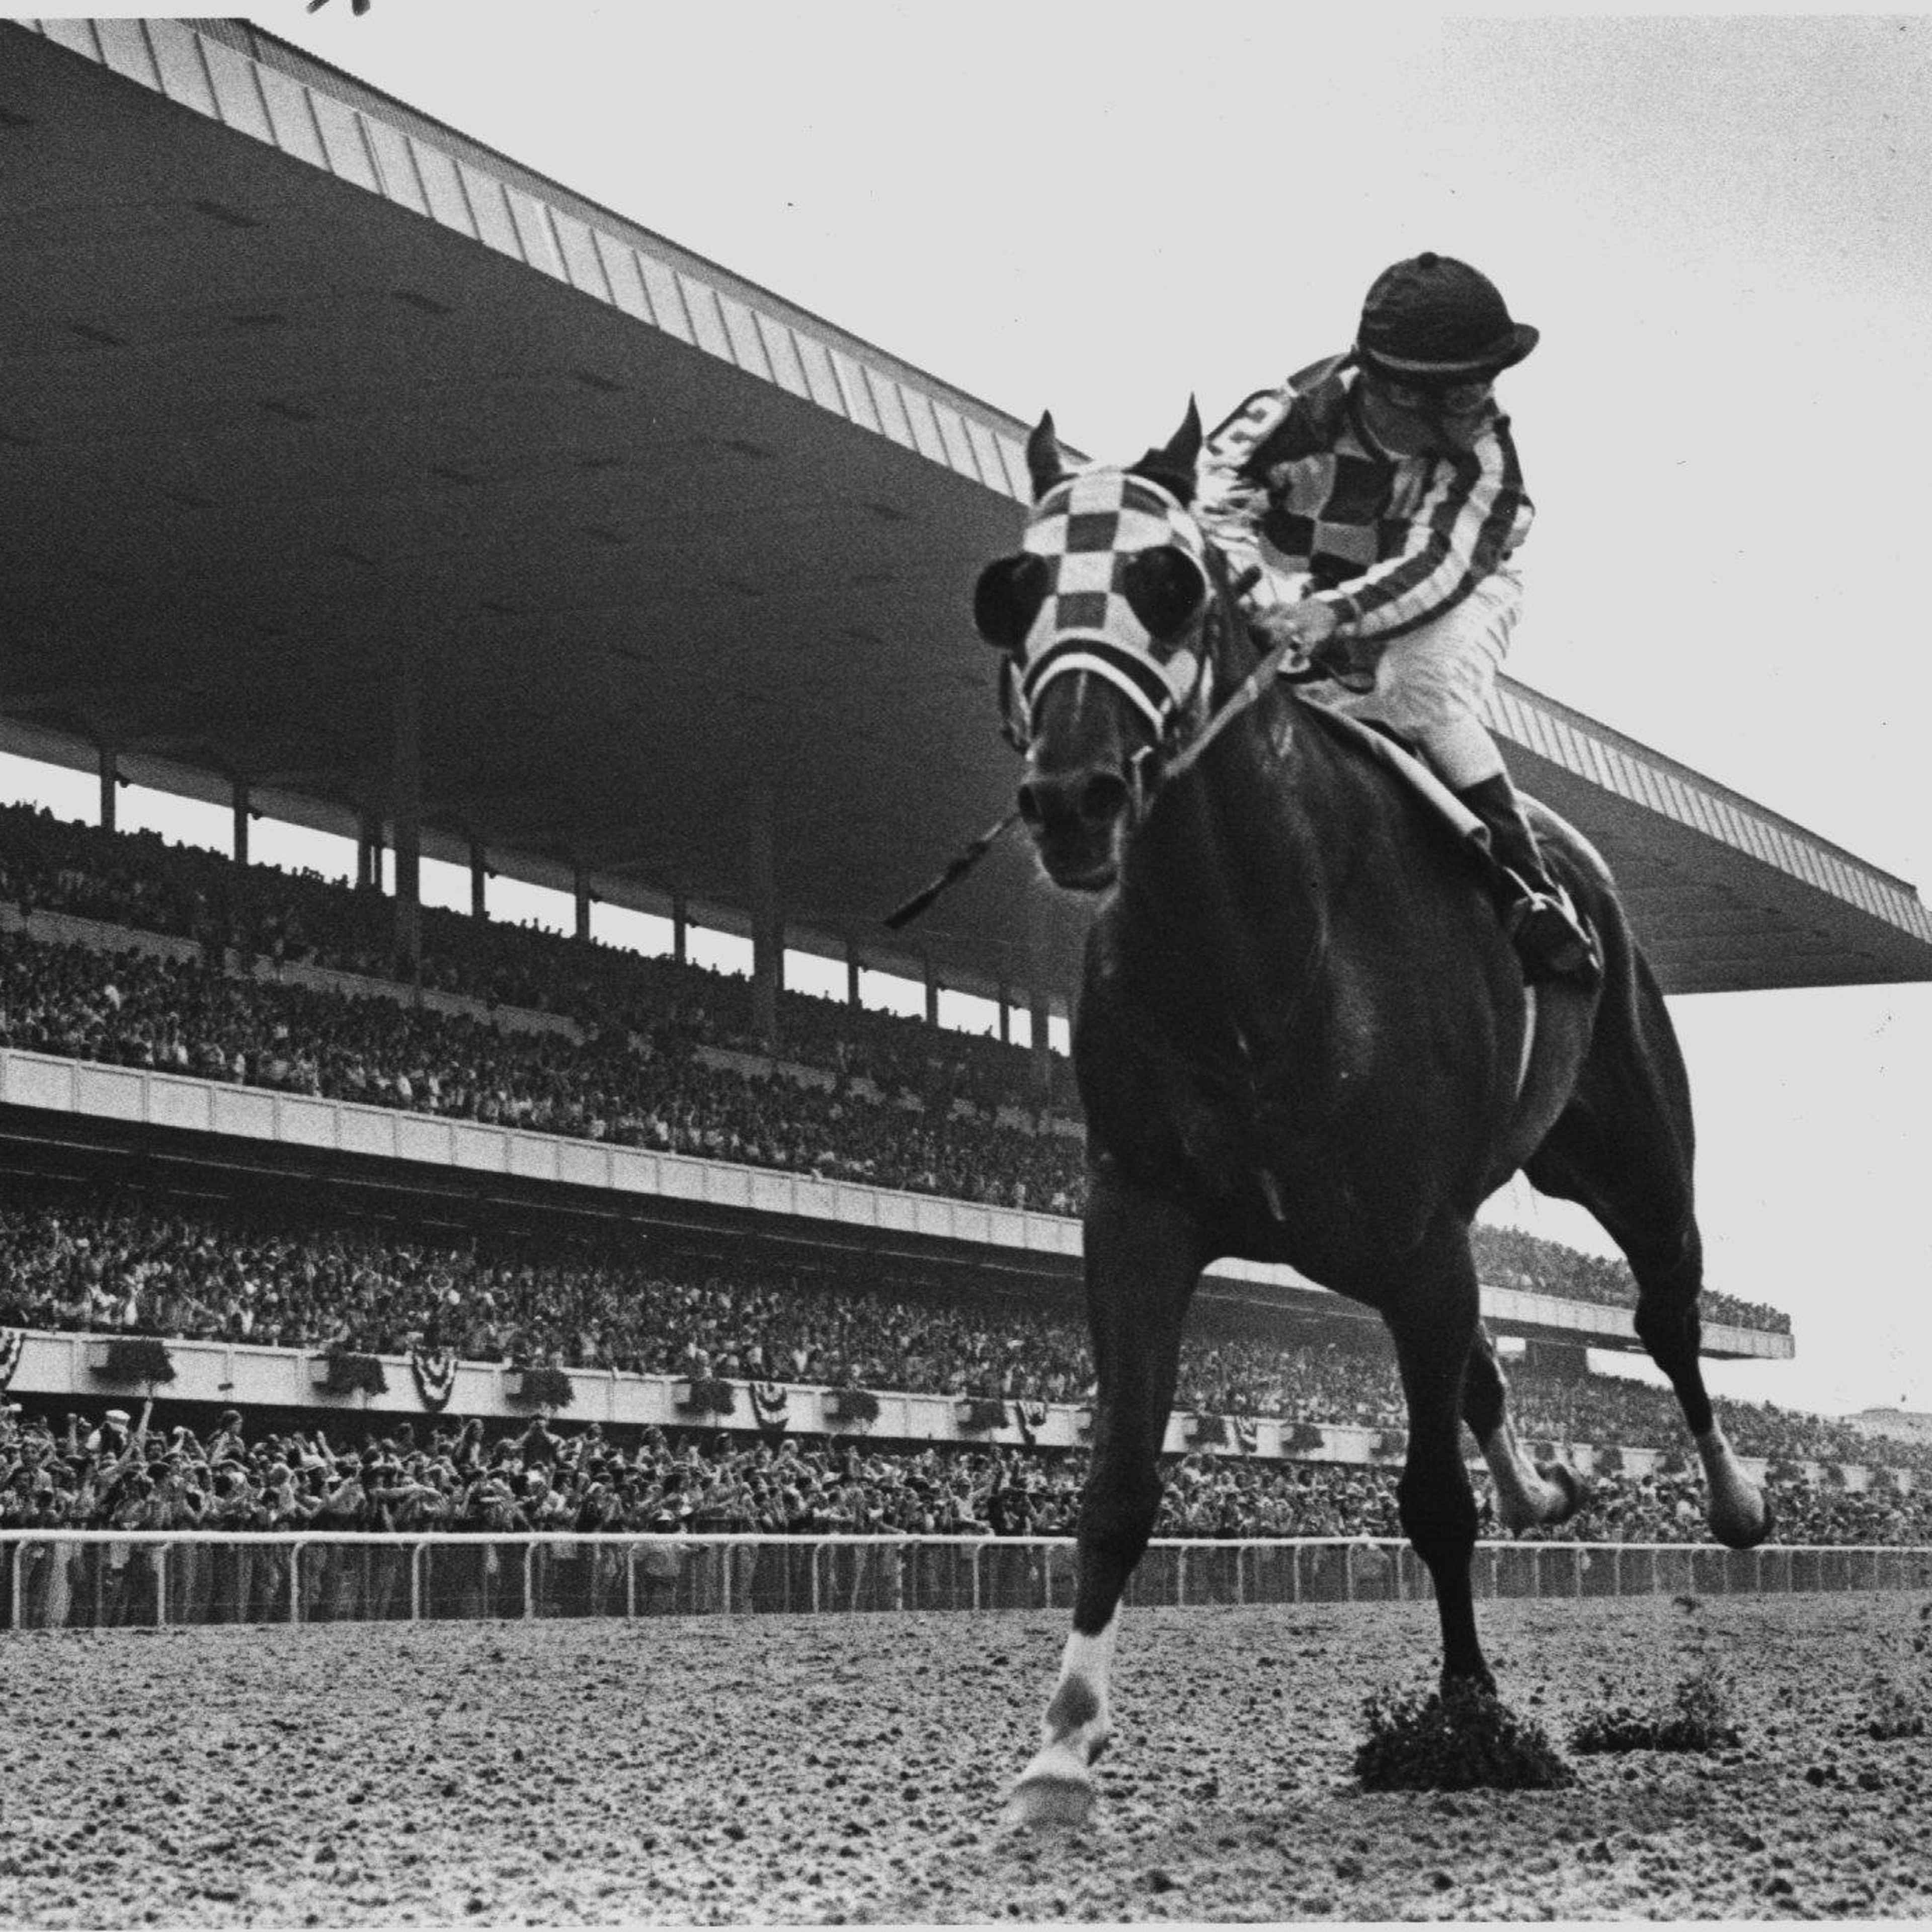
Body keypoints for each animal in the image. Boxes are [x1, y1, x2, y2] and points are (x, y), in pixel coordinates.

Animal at [969, 402, 1770, 1826]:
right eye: (1016, 588)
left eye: (1168, 582)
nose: (1073, 795)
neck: (1254, 949)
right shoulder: (1141, 1210)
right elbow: (1117, 1483)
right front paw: (1061, 1748)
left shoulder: (1414, 1232)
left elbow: (1434, 1500)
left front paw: (1471, 1717)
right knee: (1494, 1359)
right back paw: (1548, 1484)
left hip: (1627, 1156)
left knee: (1665, 1316)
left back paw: (1733, 1500)